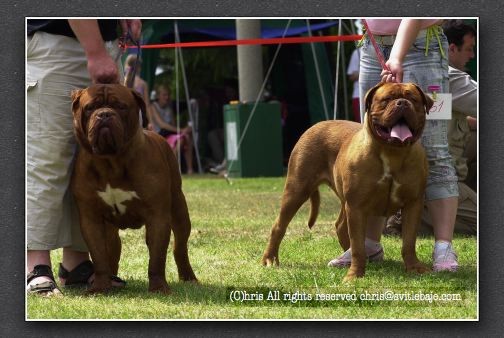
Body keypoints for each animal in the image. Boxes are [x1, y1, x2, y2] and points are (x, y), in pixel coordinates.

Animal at [71, 83, 197, 292]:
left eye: (121, 106)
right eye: (89, 107)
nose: (104, 114)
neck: (111, 161)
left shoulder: (157, 216)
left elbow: (157, 257)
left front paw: (158, 288)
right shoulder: (91, 219)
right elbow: (99, 256)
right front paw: (99, 287)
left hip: (179, 210)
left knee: (180, 246)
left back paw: (189, 277)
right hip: (111, 231)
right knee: (112, 251)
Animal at [264, 83, 434, 282]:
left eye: (413, 99)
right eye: (386, 99)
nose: (402, 103)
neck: (393, 153)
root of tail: (316, 125)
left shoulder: (413, 204)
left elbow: (408, 242)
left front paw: (414, 267)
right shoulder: (357, 206)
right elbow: (358, 246)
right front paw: (354, 275)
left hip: (342, 200)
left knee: (340, 226)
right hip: (297, 189)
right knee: (279, 225)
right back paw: (269, 259)